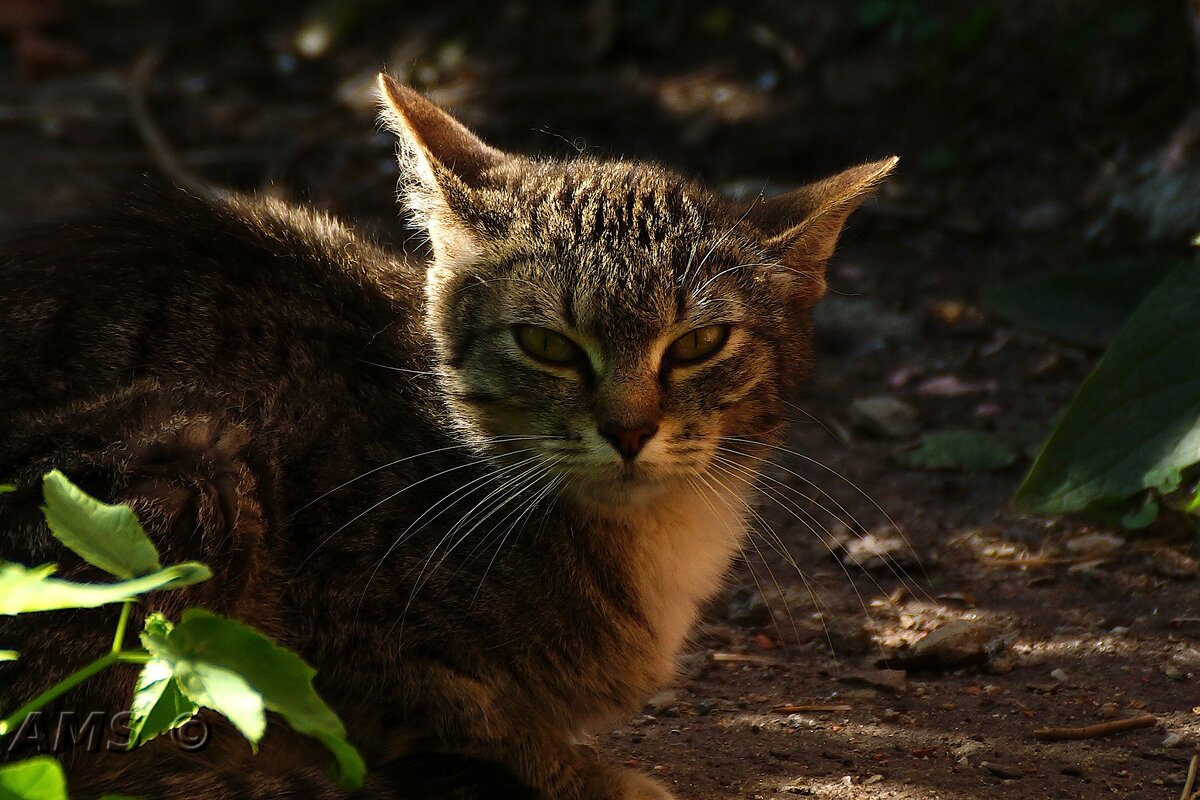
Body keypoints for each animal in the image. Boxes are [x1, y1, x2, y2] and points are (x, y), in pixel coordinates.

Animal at [0, 71, 892, 796]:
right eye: (547, 346)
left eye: (700, 344)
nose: (630, 429)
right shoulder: (343, 641)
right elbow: (438, 716)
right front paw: (582, 773)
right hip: (192, 459)